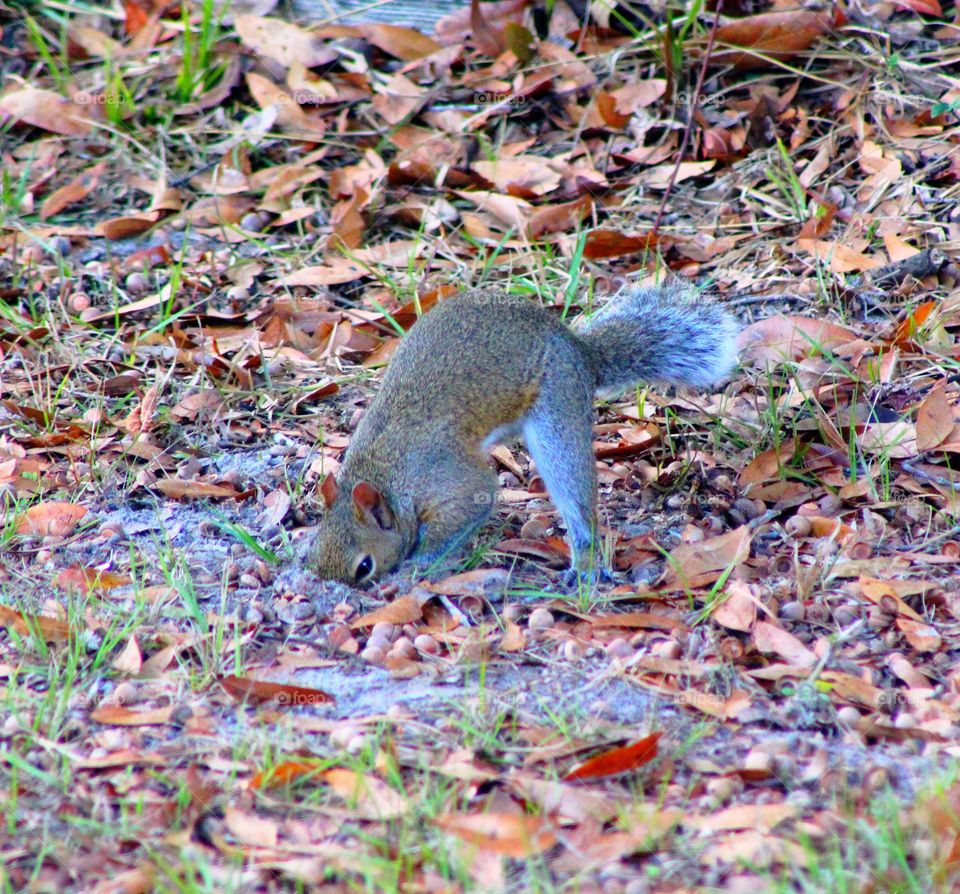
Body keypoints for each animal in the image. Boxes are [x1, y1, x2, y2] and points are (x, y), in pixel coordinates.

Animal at [310, 281, 738, 586]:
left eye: (364, 566)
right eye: (318, 549)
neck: (384, 469)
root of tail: (580, 351)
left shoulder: (448, 476)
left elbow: (470, 503)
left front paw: (417, 564)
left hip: (557, 412)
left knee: (574, 491)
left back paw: (585, 560)